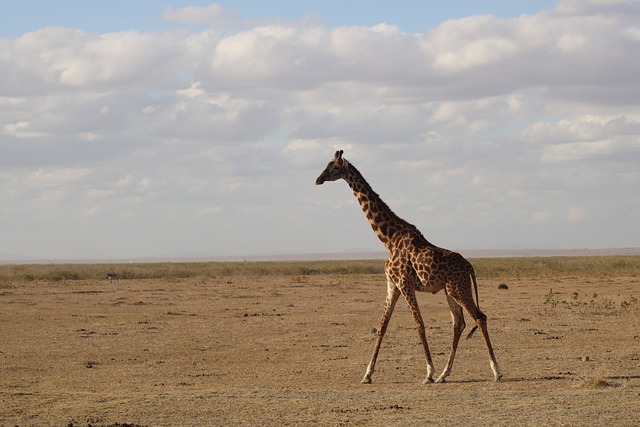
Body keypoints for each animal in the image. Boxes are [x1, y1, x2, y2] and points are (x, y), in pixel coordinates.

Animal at [314, 150, 500, 384]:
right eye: (327, 164)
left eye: (334, 167)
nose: (318, 179)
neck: (388, 239)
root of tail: (469, 266)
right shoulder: (392, 285)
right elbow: (382, 326)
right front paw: (367, 374)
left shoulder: (404, 283)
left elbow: (419, 324)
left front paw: (428, 372)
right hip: (450, 291)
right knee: (459, 323)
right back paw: (444, 374)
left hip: (459, 289)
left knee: (479, 317)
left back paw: (496, 371)